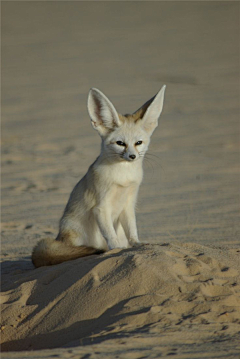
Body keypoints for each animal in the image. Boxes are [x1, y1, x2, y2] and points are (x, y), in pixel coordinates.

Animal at [31, 86, 166, 268]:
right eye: (120, 143)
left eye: (138, 143)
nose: (132, 156)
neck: (123, 177)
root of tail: (60, 237)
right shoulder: (101, 207)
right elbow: (110, 235)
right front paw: (117, 250)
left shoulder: (128, 203)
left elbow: (132, 230)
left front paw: (137, 244)